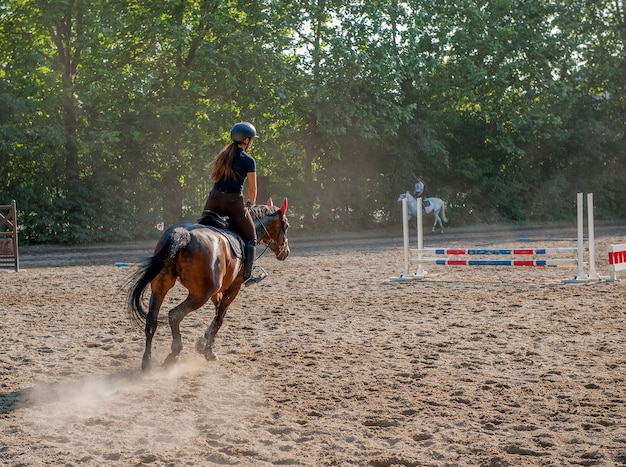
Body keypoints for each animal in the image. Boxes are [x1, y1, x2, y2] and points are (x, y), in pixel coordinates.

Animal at [129, 199, 292, 372]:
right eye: (286, 225)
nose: (285, 252)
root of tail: (184, 234)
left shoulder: (217, 291)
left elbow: (216, 312)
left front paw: (204, 341)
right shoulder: (233, 288)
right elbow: (220, 318)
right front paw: (209, 350)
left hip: (161, 287)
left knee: (151, 320)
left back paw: (147, 362)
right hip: (200, 295)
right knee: (175, 315)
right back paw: (174, 354)